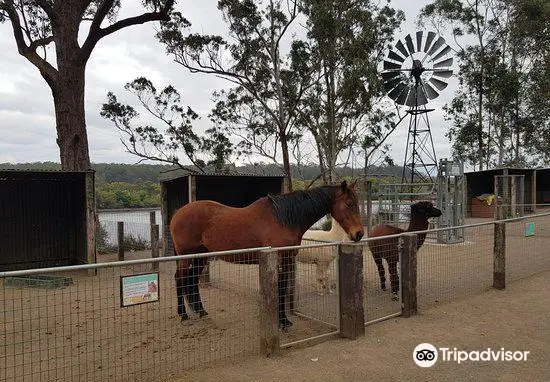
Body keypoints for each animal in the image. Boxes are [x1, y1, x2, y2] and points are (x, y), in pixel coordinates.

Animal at [170, 181, 364, 328]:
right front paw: (282, 322)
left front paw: (284, 320)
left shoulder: (288, 259)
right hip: (186, 257)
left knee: (192, 280)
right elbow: (280, 288)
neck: (284, 218)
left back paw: (201, 311)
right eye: (349, 203)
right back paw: (183, 315)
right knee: (180, 279)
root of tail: (178, 213)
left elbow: (283, 287)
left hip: (201, 256)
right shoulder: (279, 259)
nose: (359, 234)